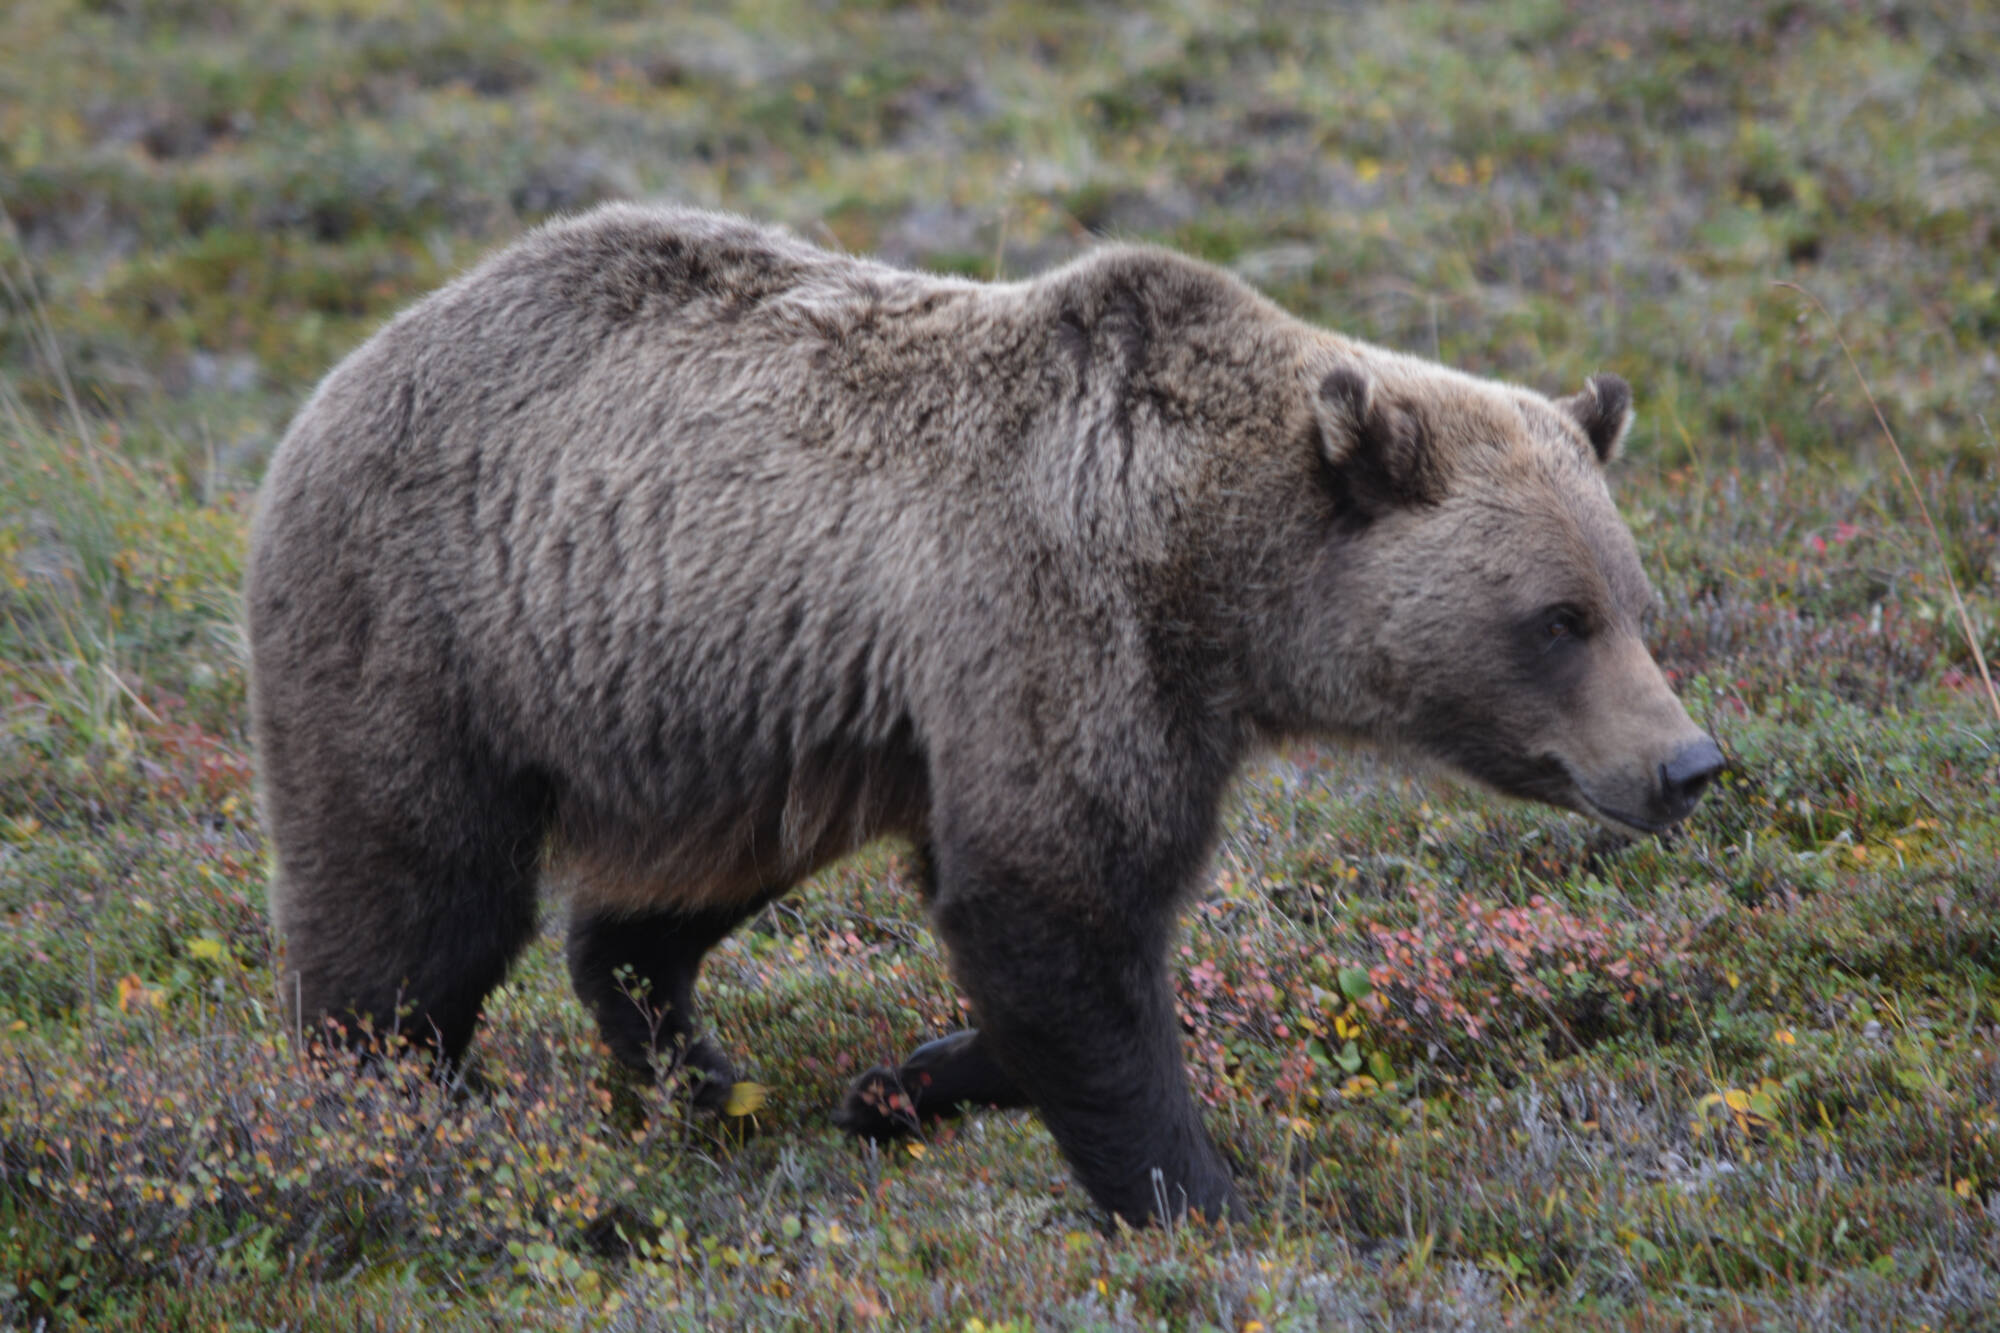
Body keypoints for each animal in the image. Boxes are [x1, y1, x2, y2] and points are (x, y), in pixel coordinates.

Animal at [246, 202, 1720, 1216]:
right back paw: (386, 1123)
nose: (1687, 763)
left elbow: (1052, 939)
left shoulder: (1142, 701)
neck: (1215, 580)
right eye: (1556, 619)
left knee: (667, 891)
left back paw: (694, 1070)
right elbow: (1049, 903)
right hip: (430, 635)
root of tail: (345, 370)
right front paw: (1199, 1193)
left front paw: (904, 1080)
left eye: (1633, 600)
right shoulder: (1062, 620)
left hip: (729, 710)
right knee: (410, 906)